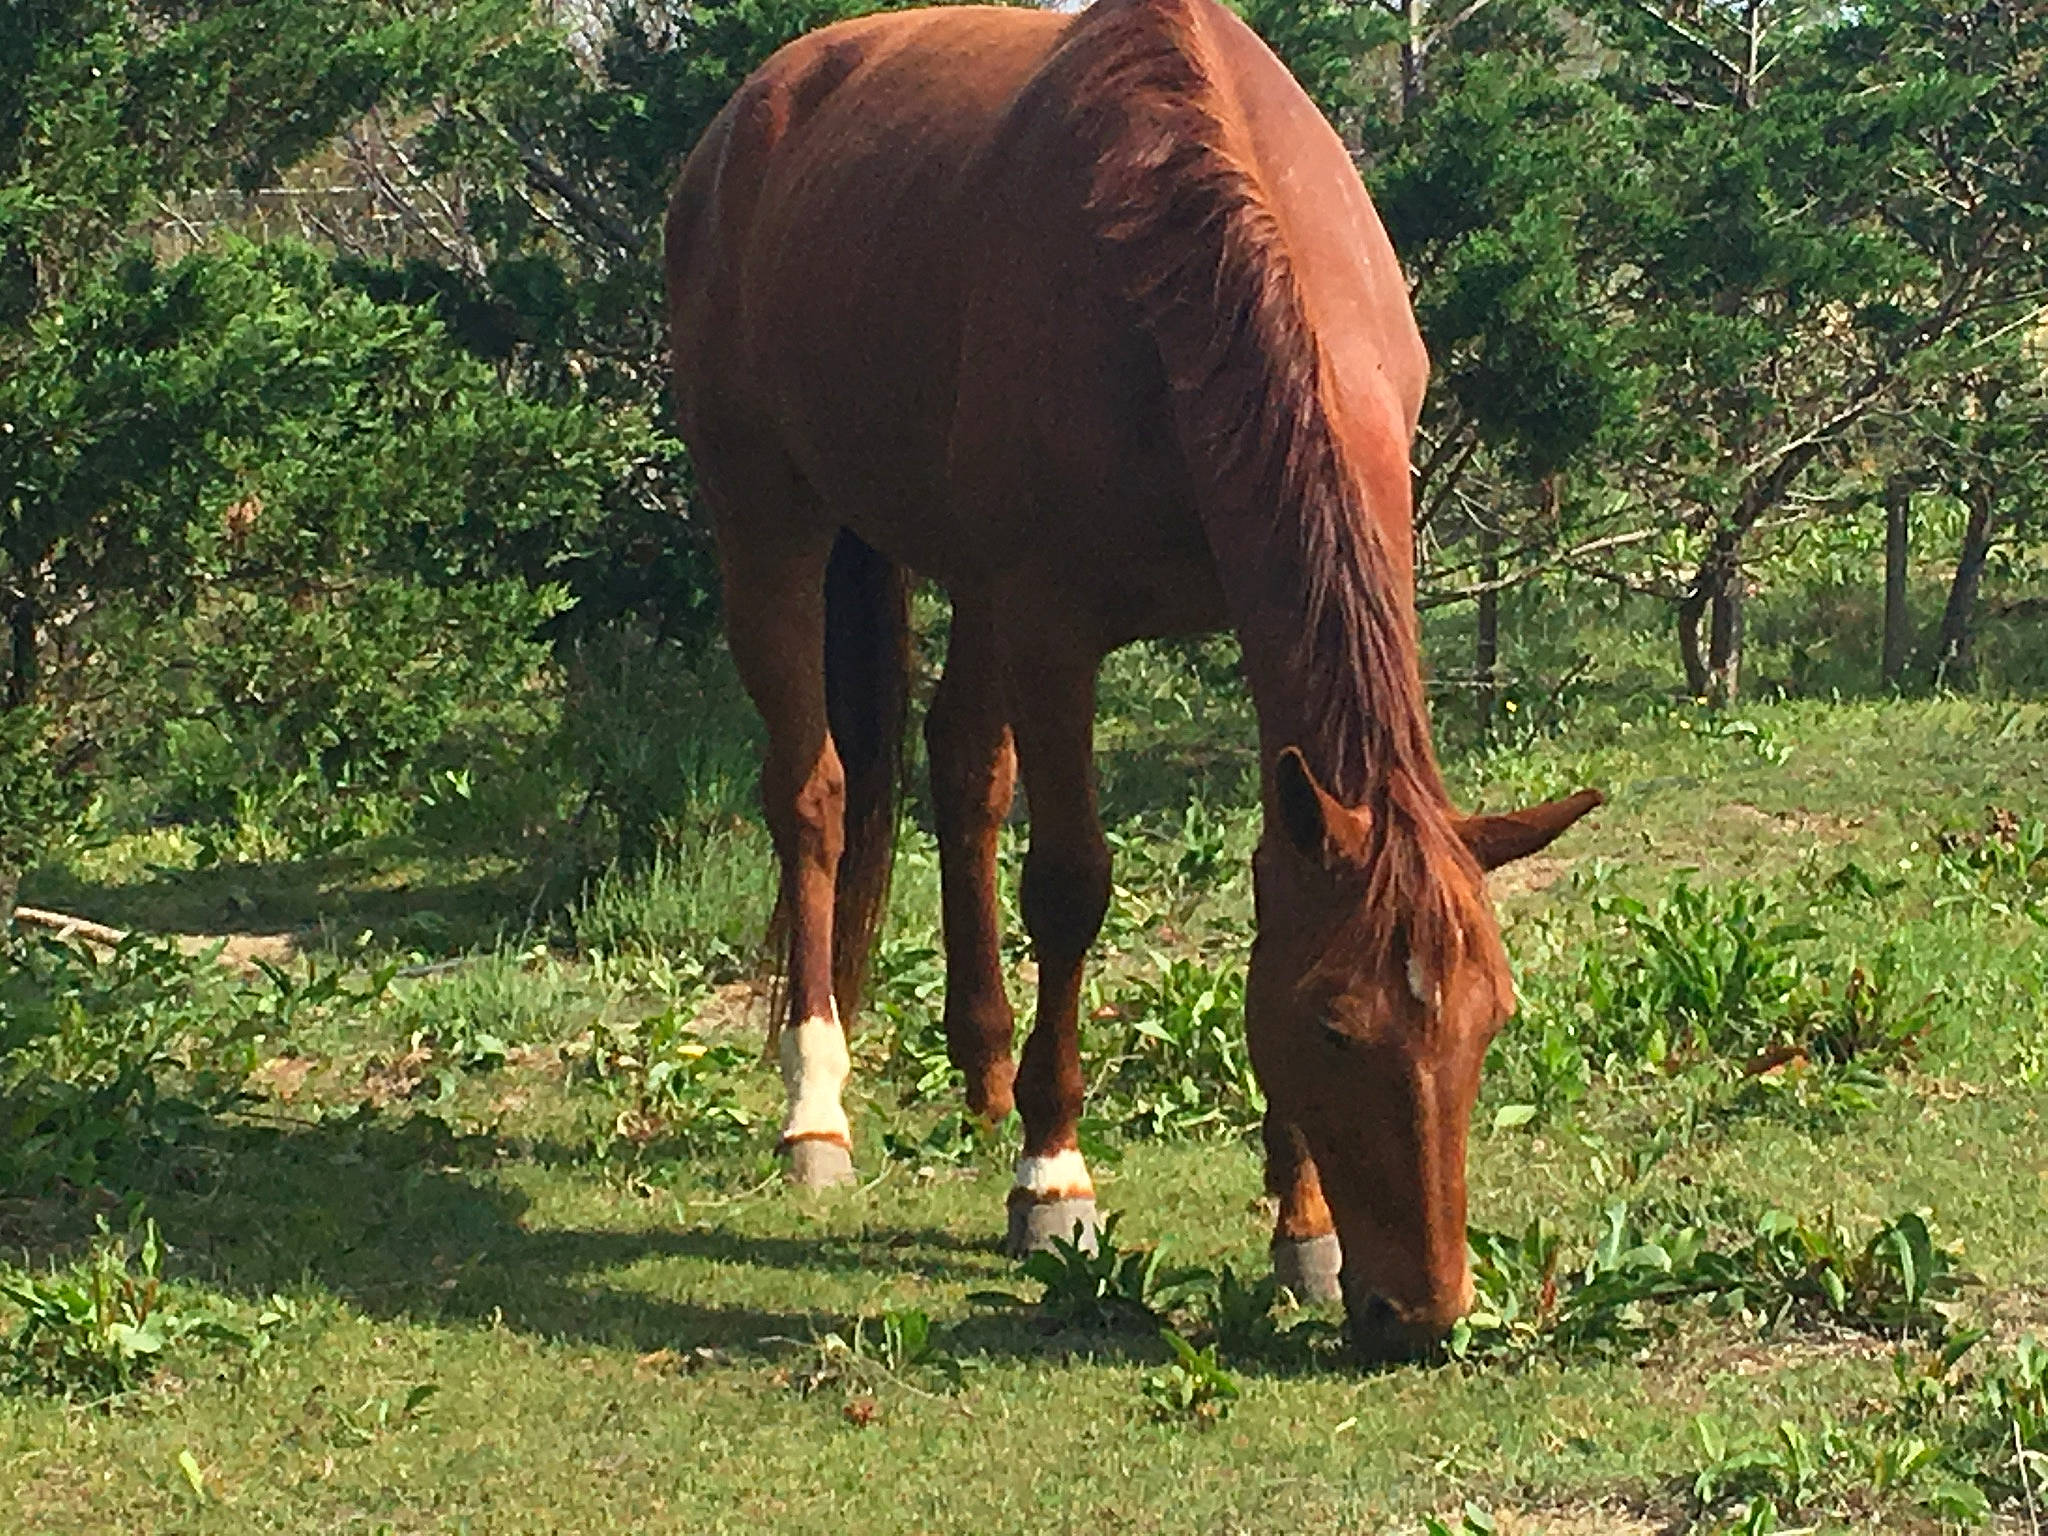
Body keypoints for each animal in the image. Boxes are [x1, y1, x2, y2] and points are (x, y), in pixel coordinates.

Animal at [664, 0, 1602, 1358]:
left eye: (1493, 1019)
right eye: (1333, 1025)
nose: (1418, 1316)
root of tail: (757, 107)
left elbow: (1267, 879)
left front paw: (1300, 1229)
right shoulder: (1054, 630)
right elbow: (1068, 888)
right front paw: (1054, 1183)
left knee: (961, 771)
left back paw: (983, 1072)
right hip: (769, 519)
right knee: (814, 793)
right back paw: (818, 1114)